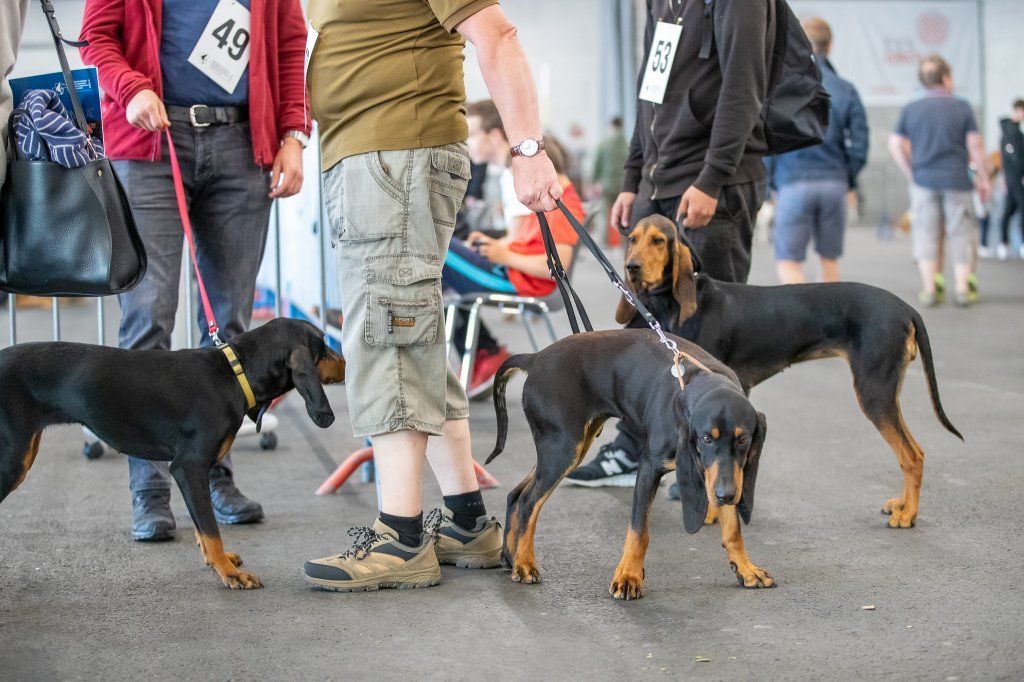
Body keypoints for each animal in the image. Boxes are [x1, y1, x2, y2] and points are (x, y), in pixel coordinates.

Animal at [0, 315, 346, 585]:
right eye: (323, 345)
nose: (347, 363)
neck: (236, 374)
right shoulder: (188, 466)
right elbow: (211, 527)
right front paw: (228, 572)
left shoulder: (193, 473)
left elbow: (201, 524)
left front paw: (218, 560)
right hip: (12, 461)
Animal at [485, 327, 770, 598]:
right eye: (706, 438)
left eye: (743, 439)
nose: (725, 495)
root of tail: (534, 358)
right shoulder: (649, 468)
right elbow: (639, 531)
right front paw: (628, 577)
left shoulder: (727, 475)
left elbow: (733, 529)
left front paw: (746, 569)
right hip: (563, 448)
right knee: (528, 502)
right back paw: (524, 564)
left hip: (565, 448)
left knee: (515, 494)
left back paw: (510, 557)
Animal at [618, 215, 962, 528]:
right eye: (632, 238)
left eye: (658, 240)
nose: (632, 267)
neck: (679, 303)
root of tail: (905, 308)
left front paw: (713, 514)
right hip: (887, 390)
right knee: (912, 452)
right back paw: (902, 505)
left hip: (874, 391)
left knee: (912, 455)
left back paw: (908, 515)